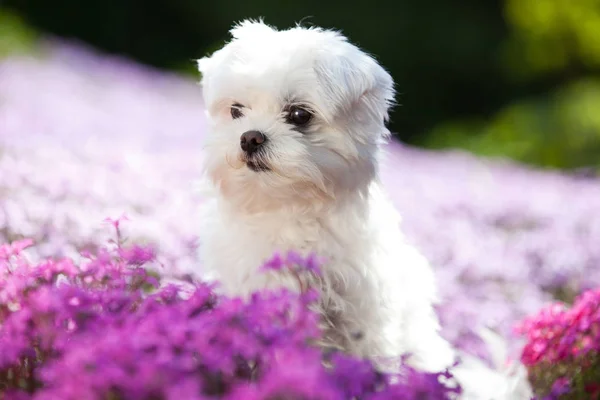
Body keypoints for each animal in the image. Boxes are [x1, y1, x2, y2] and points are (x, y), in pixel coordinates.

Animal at [196, 19, 528, 400]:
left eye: (299, 115)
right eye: (236, 110)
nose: (249, 137)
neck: (289, 206)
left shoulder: (366, 306)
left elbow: (373, 356)